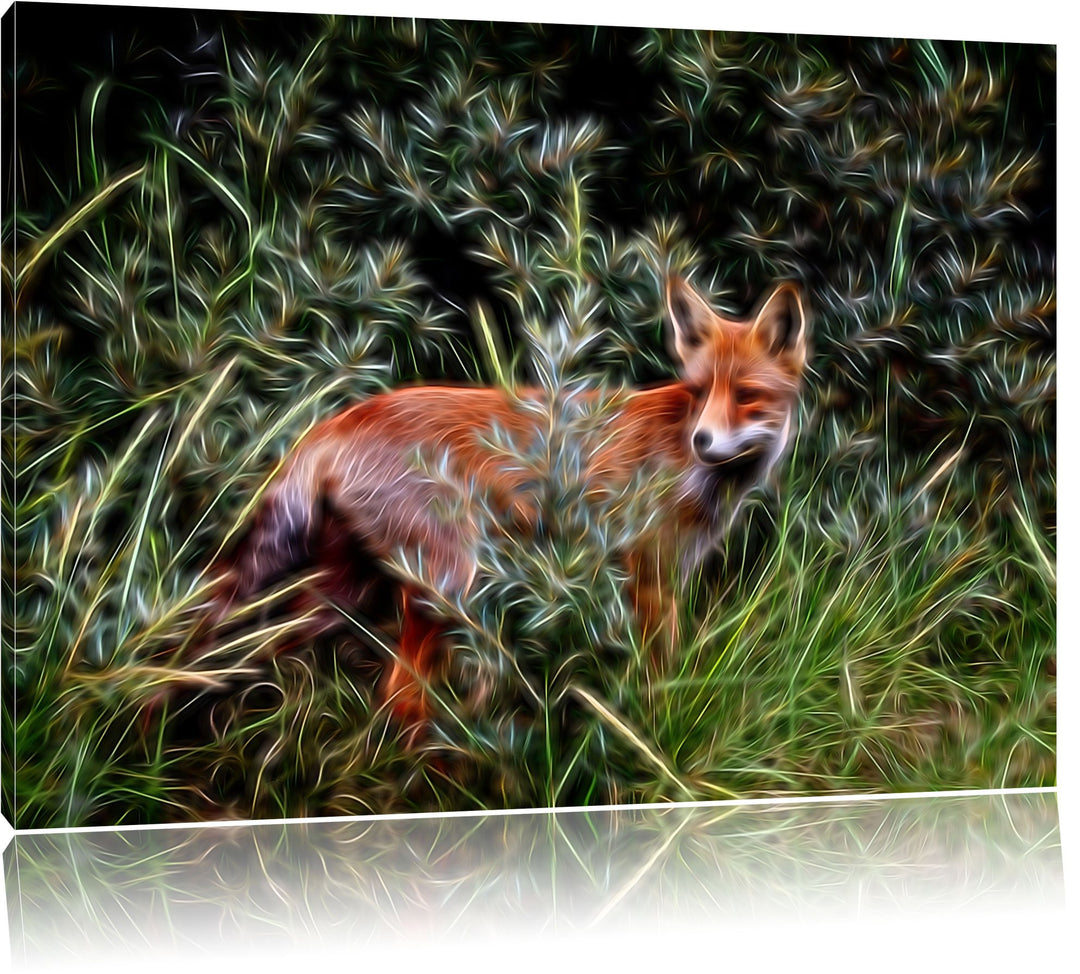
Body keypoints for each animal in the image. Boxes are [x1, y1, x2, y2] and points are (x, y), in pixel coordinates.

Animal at [202, 274, 809, 731]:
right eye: (699, 393)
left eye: (747, 396)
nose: (703, 441)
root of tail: (339, 418)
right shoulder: (650, 578)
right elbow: (656, 677)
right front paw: (653, 732)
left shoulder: (664, 576)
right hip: (448, 583)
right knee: (398, 695)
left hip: (345, 588)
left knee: (279, 644)